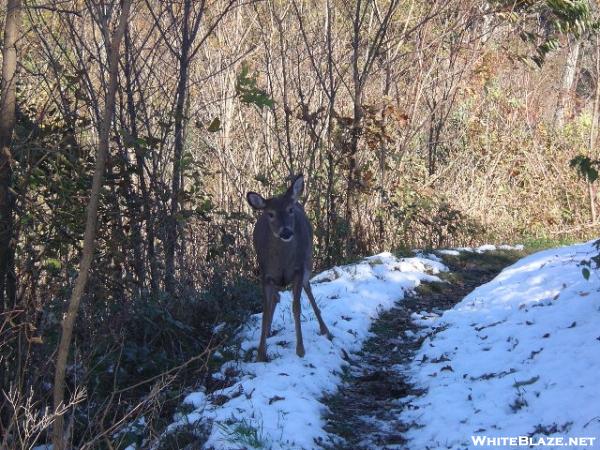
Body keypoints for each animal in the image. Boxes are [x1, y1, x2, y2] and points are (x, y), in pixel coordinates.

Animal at [247, 173, 332, 362]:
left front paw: (300, 350)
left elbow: (296, 307)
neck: (282, 262)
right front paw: (260, 354)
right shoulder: (265, 274)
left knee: (308, 289)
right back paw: (268, 331)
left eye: (290, 210)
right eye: (270, 214)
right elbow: (265, 310)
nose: (285, 232)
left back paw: (326, 330)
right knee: (276, 297)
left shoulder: (298, 270)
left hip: (308, 262)